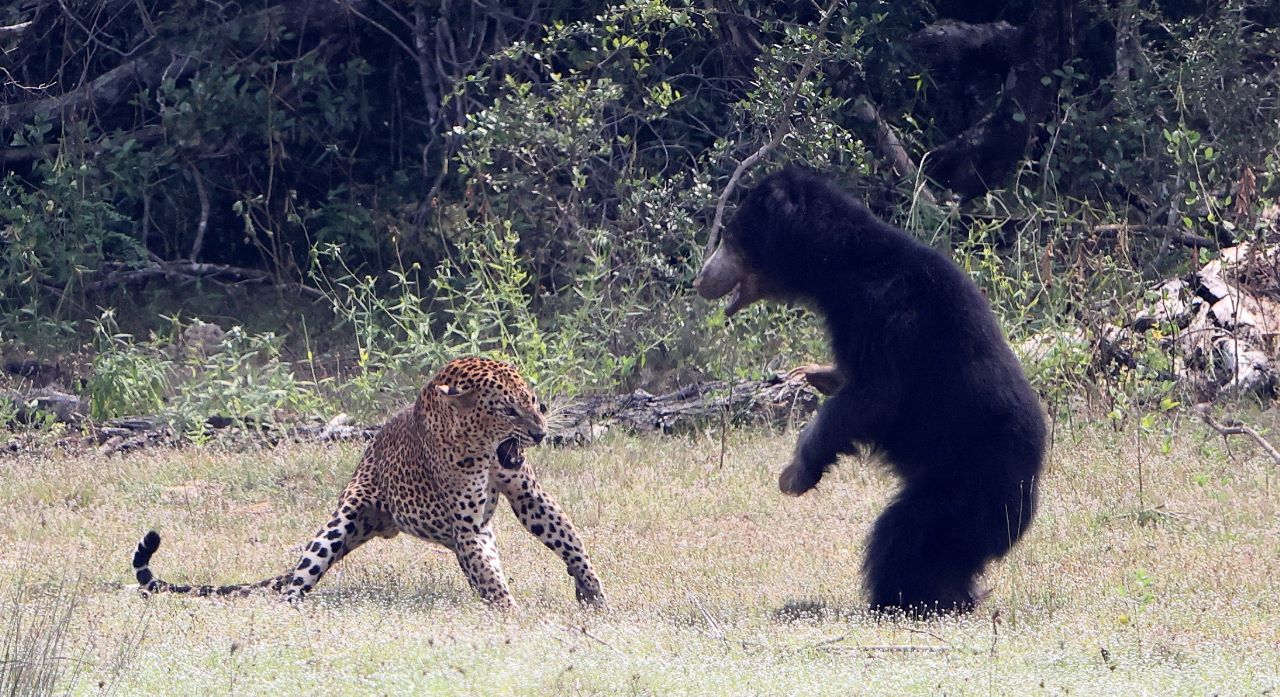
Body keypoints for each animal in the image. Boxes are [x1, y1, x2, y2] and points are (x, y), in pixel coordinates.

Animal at [128, 355, 604, 606]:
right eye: (508, 410)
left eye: (536, 403)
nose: (540, 434)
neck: (480, 445)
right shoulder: (467, 524)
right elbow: (490, 575)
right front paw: (509, 615)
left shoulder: (525, 493)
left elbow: (567, 538)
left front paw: (593, 593)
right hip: (340, 522)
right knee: (299, 578)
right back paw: (292, 610)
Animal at [696, 168, 1044, 613]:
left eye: (729, 237)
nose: (701, 279)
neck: (840, 268)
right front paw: (813, 371)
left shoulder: (885, 314)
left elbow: (873, 396)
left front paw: (794, 473)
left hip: (967, 478)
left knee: (907, 537)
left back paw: (906, 597)